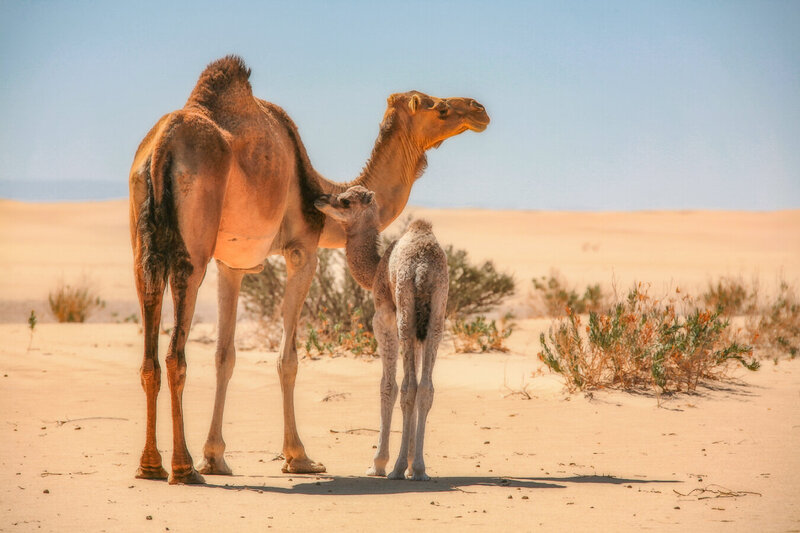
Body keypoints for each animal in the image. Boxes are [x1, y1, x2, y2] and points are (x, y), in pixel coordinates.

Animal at [314, 186, 447, 480]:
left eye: (346, 200)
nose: (319, 199)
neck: (375, 269)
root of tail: (423, 268)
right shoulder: (420, 331)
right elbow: (416, 384)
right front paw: (408, 461)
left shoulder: (383, 319)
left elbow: (388, 385)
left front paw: (378, 463)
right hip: (436, 316)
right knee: (425, 388)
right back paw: (418, 469)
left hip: (404, 312)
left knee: (408, 387)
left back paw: (398, 469)